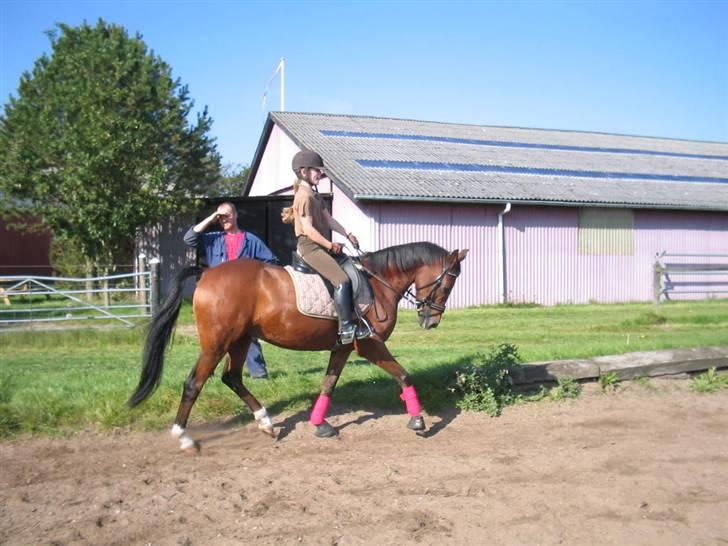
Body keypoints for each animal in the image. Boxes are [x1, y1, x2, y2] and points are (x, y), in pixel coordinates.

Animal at [128, 241, 470, 446]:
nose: (431, 321)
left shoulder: (342, 347)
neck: (377, 283)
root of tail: (208, 272)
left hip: (240, 339)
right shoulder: (369, 345)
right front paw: (418, 420)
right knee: (194, 383)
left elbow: (328, 385)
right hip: (217, 343)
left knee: (231, 377)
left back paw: (266, 422)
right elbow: (403, 374)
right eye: (448, 282)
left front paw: (320, 425)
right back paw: (183, 436)